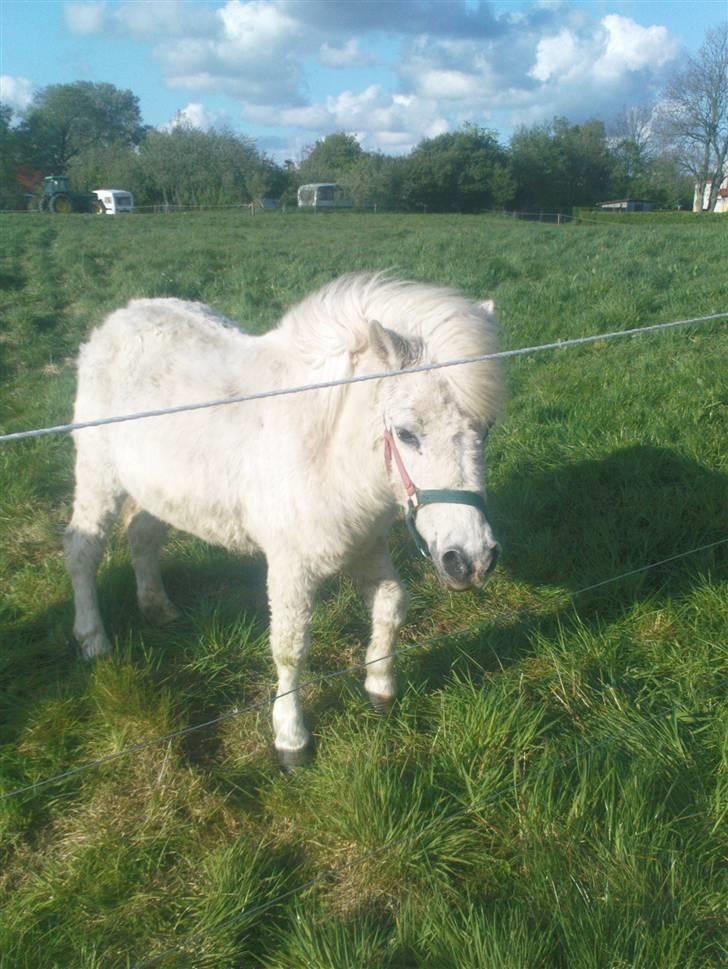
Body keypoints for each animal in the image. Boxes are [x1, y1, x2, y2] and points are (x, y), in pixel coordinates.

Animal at [65, 270, 504, 764]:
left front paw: (380, 689)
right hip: (98, 473)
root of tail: (120, 318)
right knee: (82, 550)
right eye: (407, 434)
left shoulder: (365, 547)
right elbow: (291, 647)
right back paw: (93, 640)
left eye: (486, 429)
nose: (471, 561)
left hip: (156, 488)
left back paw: (158, 609)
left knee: (142, 535)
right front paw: (291, 739)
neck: (326, 451)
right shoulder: (291, 566)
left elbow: (392, 605)